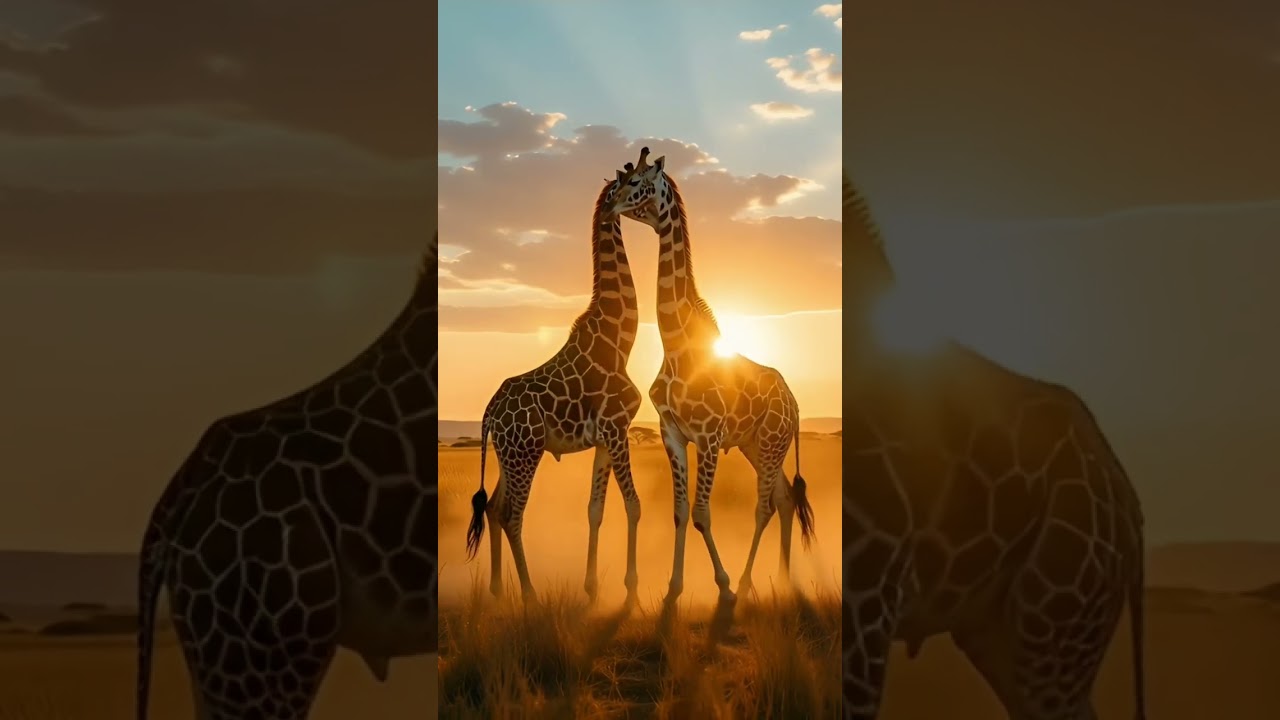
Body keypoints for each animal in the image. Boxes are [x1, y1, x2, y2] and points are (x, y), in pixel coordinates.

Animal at [463, 173, 644, 606]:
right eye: (633, 185)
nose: (644, 210)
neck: (620, 340)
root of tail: (489, 413)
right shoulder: (618, 430)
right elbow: (632, 505)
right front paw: (631, 592)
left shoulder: (605, 438)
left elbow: (596, 509)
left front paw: (593, 588)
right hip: (525, 453)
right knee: (511, 514)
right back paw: (529, 594)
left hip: (508, 454)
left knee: (493, 508)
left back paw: (497, 590)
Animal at [606, 147, 816, 605]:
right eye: (621, 181)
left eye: (637, 182)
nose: (611, 205)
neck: (676, 346)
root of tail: (794, 403)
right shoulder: (672, 432)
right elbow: (681, 512)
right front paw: (673, 589)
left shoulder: (710, 435)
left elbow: (703, 513)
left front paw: (723, 586)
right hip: (756, 446)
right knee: (784, 499)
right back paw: (782, 578)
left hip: (769, 443)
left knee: (764, 506)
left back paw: (747, 581)